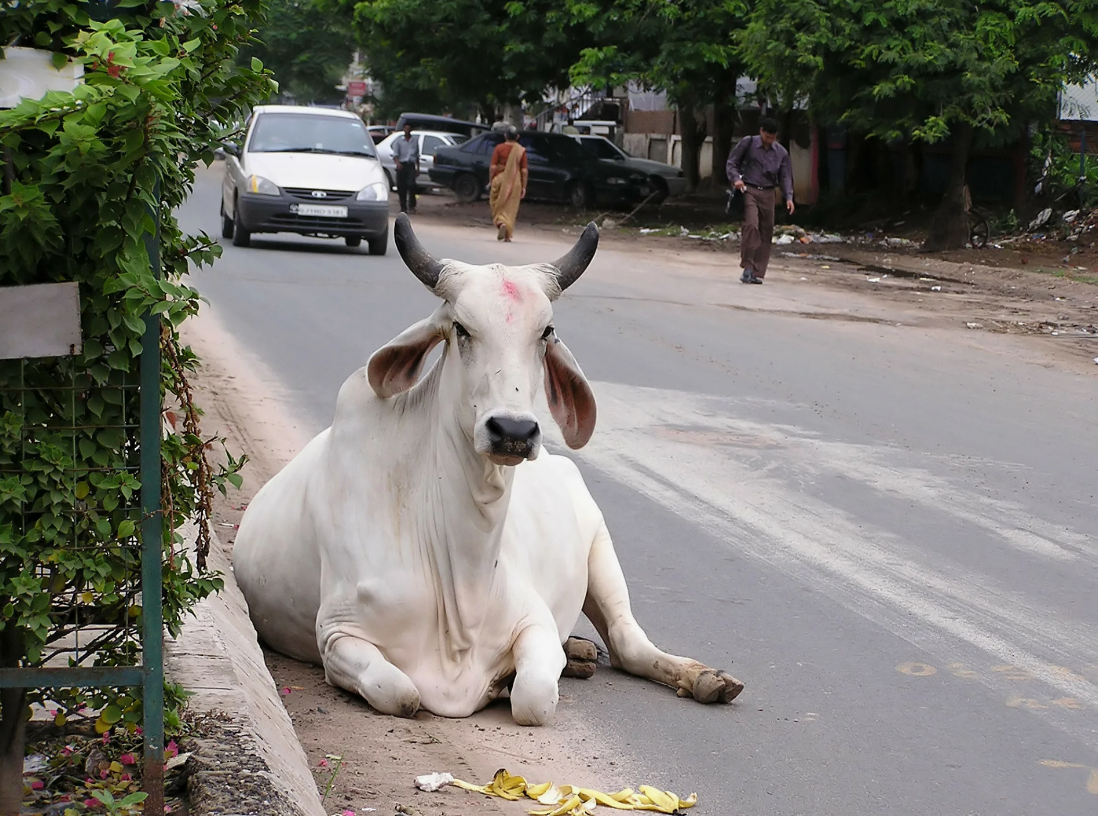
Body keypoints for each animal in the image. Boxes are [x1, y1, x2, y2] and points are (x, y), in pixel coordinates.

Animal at [234, 214, 742, 724]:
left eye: (546, 332)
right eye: (461, 328)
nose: (513, 429)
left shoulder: (535, 621)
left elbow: (534, 696)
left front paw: (510, 679)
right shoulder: (337, 634)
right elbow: (401, 692)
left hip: (600, 547)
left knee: (627, 644)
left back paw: (703, 678)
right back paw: (582, 653)